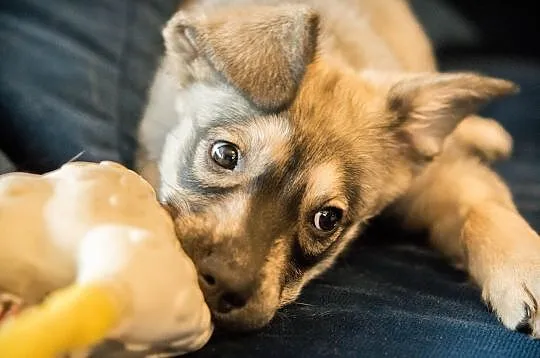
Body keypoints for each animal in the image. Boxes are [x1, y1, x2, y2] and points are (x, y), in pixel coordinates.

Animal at [137, 0, 540, 336]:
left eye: (327, 219)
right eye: (224, 155)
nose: (225, 284)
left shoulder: (442, 181)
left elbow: (483, 211)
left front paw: (526, 269)